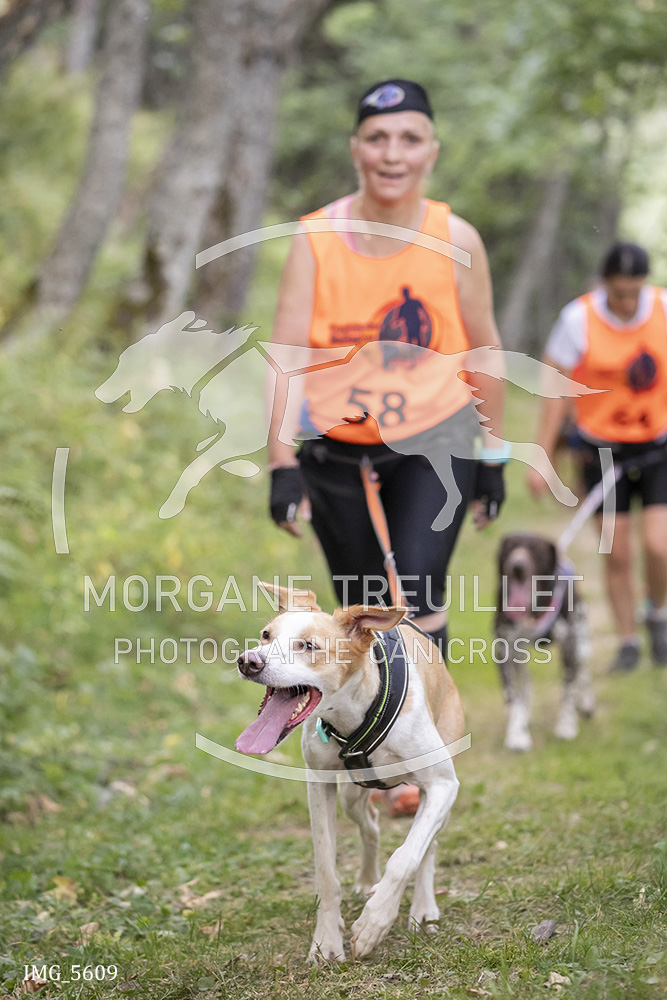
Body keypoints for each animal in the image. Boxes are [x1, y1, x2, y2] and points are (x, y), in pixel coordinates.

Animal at [236, 584, 465, 960]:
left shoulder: (443, 785)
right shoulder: (319, 785)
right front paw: (326, 941)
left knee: (427, 847)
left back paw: (422, 908)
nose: (249, 660)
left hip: (438, 792)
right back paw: (368, 879)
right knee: (370, 823)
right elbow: (326, 870)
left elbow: (406, 857)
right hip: (354, 795)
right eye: (266, 636)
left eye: (308, 645)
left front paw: (374, 925)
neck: (355, 714)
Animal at [495, 533, 595, 751]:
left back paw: (586, 702)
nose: (517, 565)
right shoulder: (504, 649)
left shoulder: (569, 647)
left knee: (583, 672)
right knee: (525, 682)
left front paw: (566, 726)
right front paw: (517, 734)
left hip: (581, 642)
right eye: (511, 548)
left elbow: (568, 691)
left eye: (535, 550)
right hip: (519, 653)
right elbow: (513, 696)